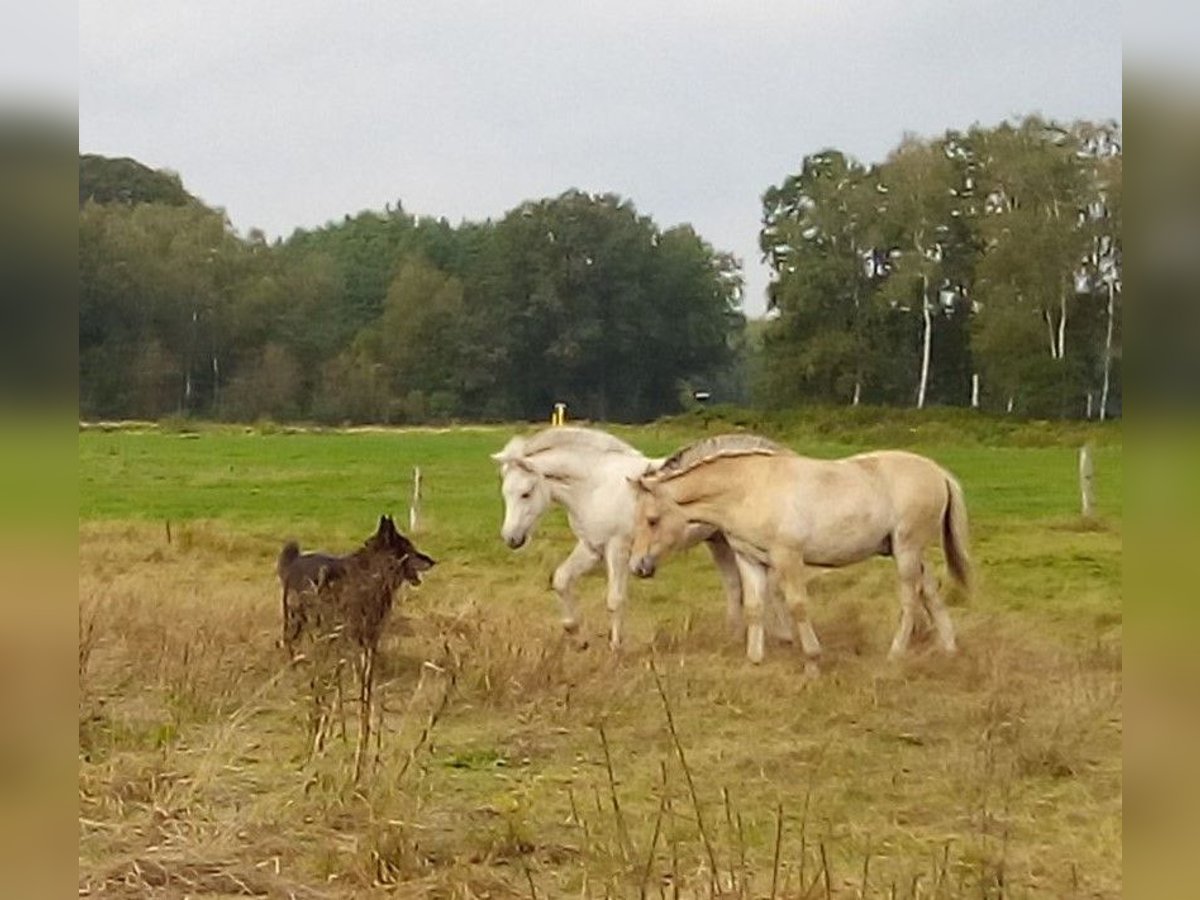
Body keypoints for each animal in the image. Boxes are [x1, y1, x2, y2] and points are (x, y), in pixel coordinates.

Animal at [492, 427, 782, 648]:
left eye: (526, 493)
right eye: (505, 492)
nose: (511, 538)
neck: (595, 485)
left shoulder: (617, 549)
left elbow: (615, 599)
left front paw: (616, 647)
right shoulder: (591, 548)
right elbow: (562, 580)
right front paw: (576, 634)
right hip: (720, 541)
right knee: (735, 585)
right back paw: (734, 638)